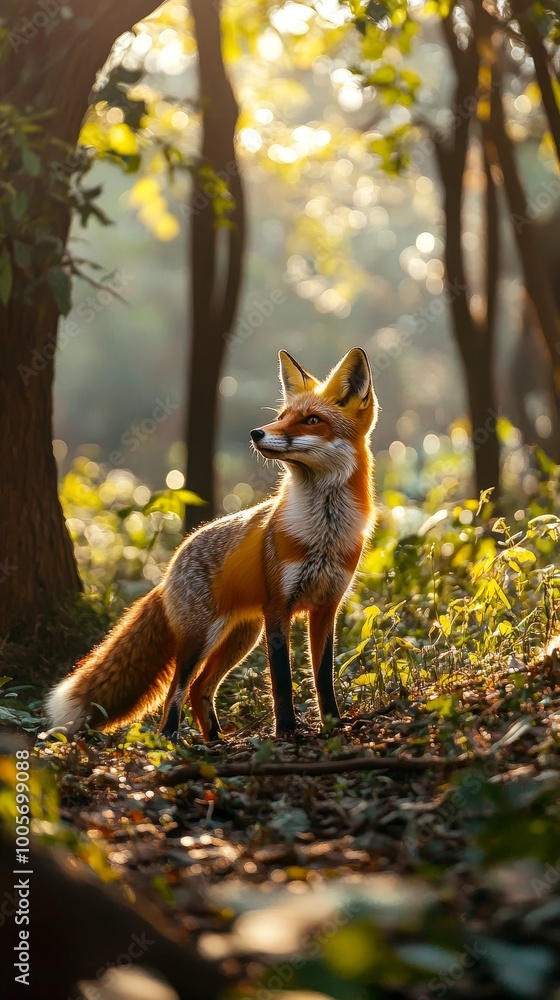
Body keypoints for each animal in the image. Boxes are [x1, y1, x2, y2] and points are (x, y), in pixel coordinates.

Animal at [46, 347, 378, 741]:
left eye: (312, 420)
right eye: (282, 417)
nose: (256, 432)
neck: (323, 533)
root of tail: (169, 569)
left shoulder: (326, 607)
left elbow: (323, 679)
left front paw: (333, 725)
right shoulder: (278, 609)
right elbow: (281, 682)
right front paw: (286, 732)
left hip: (241, 637)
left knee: (199, 688)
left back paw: (215, 741)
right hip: (201, 639)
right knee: (176, 691)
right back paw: (171, 741)